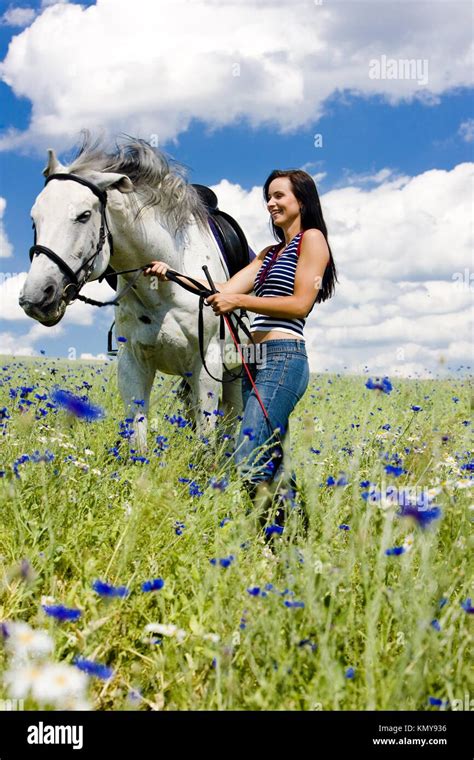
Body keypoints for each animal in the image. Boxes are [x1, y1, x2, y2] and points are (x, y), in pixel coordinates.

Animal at [21, 137, 292, 504]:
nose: (36, 297)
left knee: (230, 424)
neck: (167, 277)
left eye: (84, 215)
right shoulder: (133, 362)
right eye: (35, 218)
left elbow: (206, 437)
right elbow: (138, 437)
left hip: (235, 373)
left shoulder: (207, 363)